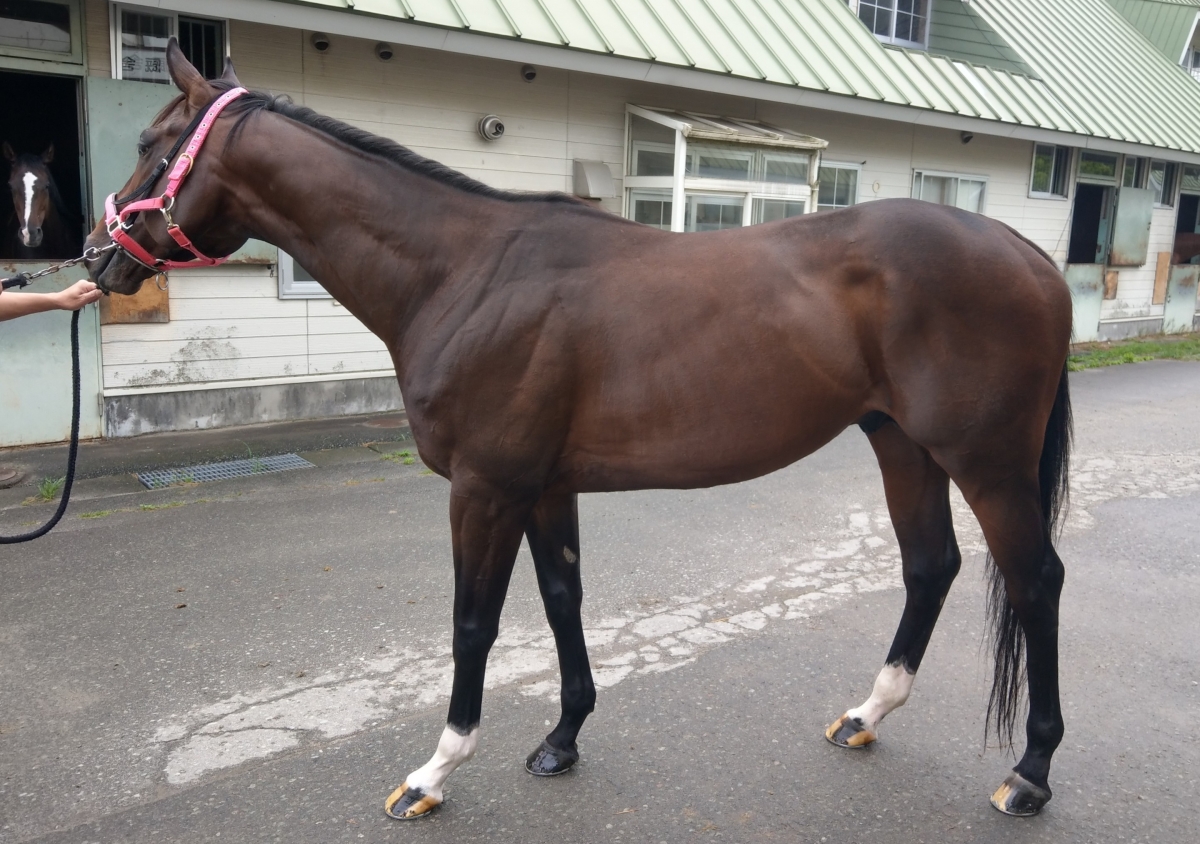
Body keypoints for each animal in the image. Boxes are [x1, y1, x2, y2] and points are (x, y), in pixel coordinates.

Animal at [86, 41, 1073, 822]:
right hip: (901, 443)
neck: (463, 272)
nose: (99, 261)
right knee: (930, 566)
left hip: (985, 462)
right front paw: (562, 737)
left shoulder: (484, 489)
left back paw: (1029, 774)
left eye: (149, 146)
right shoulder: (542, 486)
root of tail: (1029, 255)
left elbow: (473, 623)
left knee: (1036, 582)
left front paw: (434, 772)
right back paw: (868, 715)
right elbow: (563, 599)